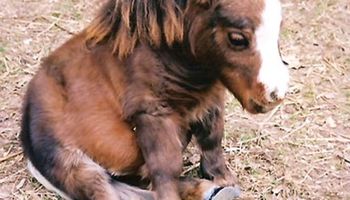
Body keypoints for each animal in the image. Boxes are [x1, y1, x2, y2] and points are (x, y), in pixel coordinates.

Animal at [21, 0, 288, 199]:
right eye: (237, 38)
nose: (275, 95)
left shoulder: (209, 99)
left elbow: (212, 140)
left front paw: (224, 180)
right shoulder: (151, 113)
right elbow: (166, 166)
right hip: (76, 167)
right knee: (109, 189)